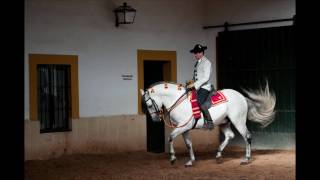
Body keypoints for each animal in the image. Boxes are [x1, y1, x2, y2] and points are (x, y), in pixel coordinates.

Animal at [141, 81, 276, 166]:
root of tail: (241, 97)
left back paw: (246, 159)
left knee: (247, 136)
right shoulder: (185, 129)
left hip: (238, 121)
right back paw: (218, 155)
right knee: (230, 136)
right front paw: (191, 161)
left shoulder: (183, 126)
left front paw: (173, 158)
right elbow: (188, 144)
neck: (179, 101)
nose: (155, 120)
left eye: (149, 105)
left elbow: (170, 137)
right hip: (224, 122)